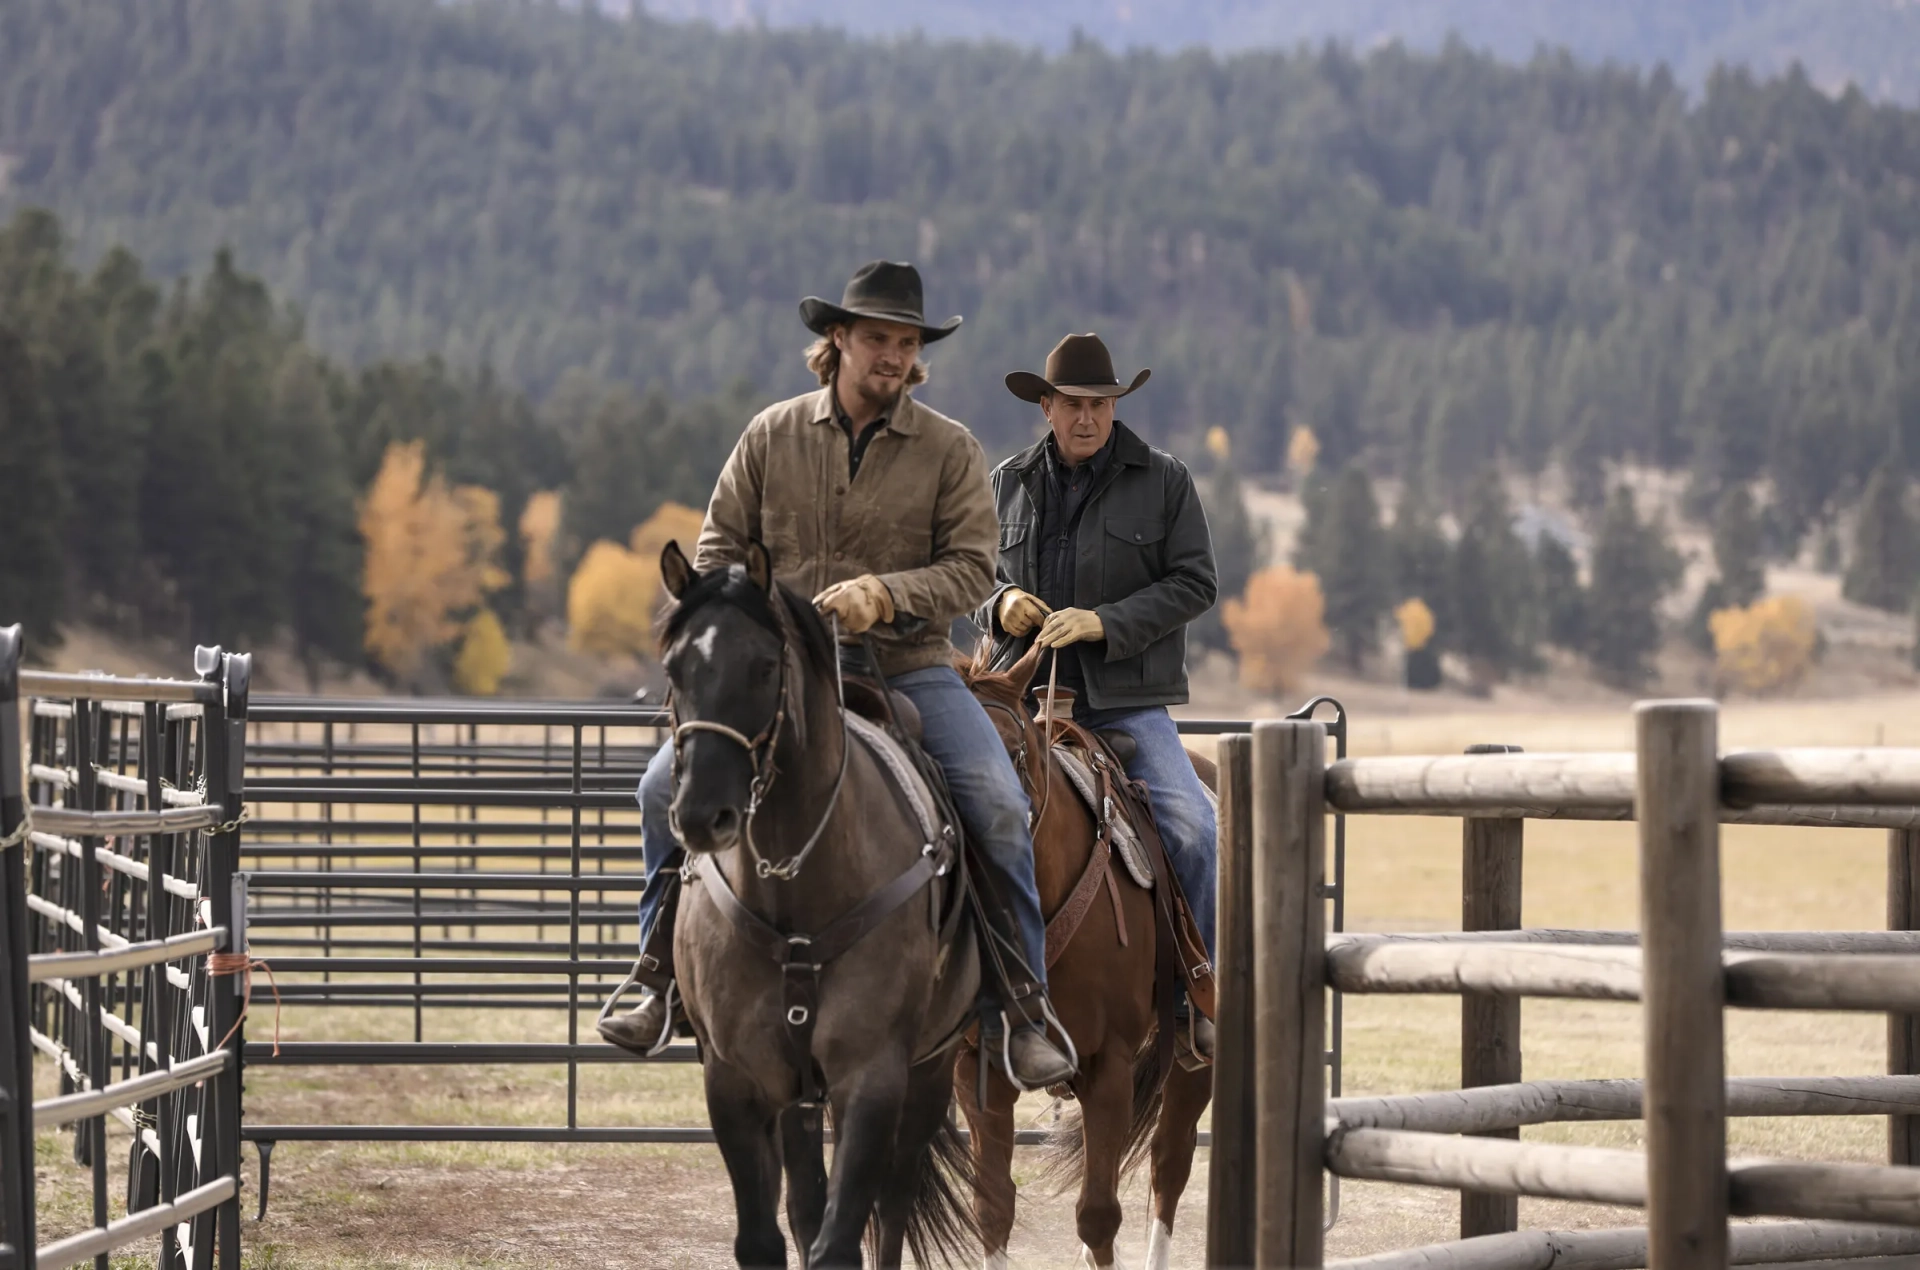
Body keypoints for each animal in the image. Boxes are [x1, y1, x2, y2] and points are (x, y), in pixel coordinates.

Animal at [660, 541, 983, 1260]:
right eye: (674, 666)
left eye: (764, 665)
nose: (702, 815)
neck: (794, 887)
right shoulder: (735, 1080)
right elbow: (765, 1237)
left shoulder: (872, 1077)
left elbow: (842, 1237)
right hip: (799, 1095)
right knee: (807, 1204)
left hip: (930, 1068)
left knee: (892, 1202)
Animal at [960, 649, 1213, 1260]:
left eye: (1013, 749)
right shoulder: (979, 1069)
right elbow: (992, 1209)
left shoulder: (1110, 1066)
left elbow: (1098, 1214)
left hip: (1194, 1060)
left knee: (1169, 1165)